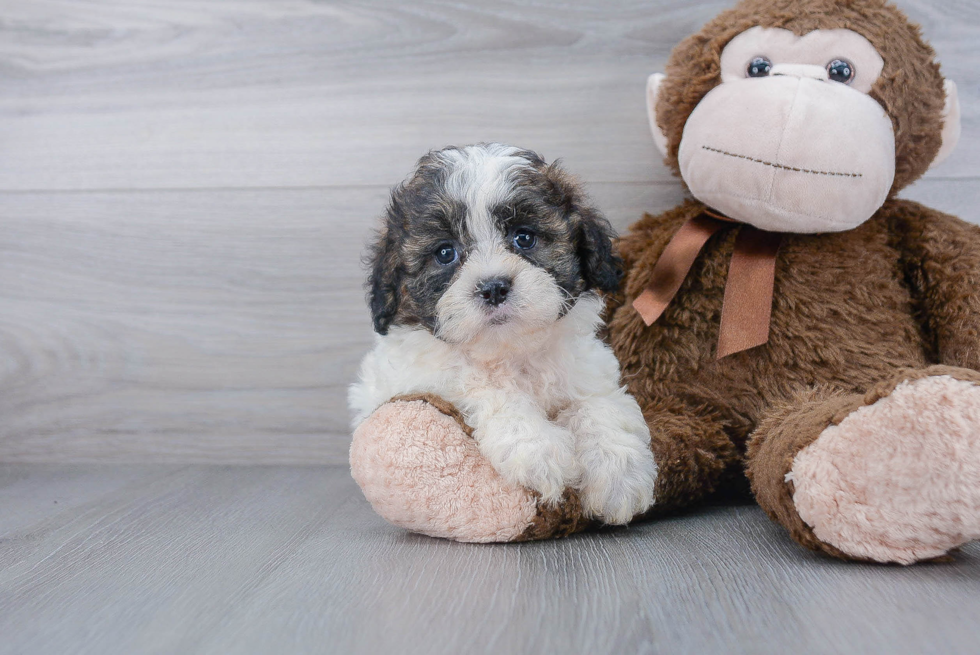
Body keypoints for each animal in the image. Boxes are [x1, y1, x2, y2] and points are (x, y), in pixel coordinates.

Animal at [346, 145, 660, 528]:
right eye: (445, 253)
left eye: (524, 237)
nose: (494, 287)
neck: (510, 351)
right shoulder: (420, 374)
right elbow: (483, 385)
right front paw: (538, 448)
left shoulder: (590, 371)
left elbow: (599, 405)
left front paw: (619, 474)